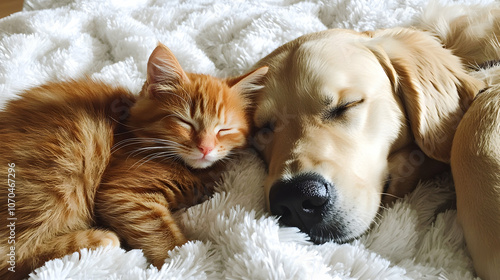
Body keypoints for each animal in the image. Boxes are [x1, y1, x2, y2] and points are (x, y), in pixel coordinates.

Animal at [0, 43, 268, 278]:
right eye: (185, 122)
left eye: (224, 129)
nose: (205, 148)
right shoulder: (123, 194)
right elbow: (164, 236)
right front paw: (187, 262)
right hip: (67, 164)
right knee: (11, 255)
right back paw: (99, 238)